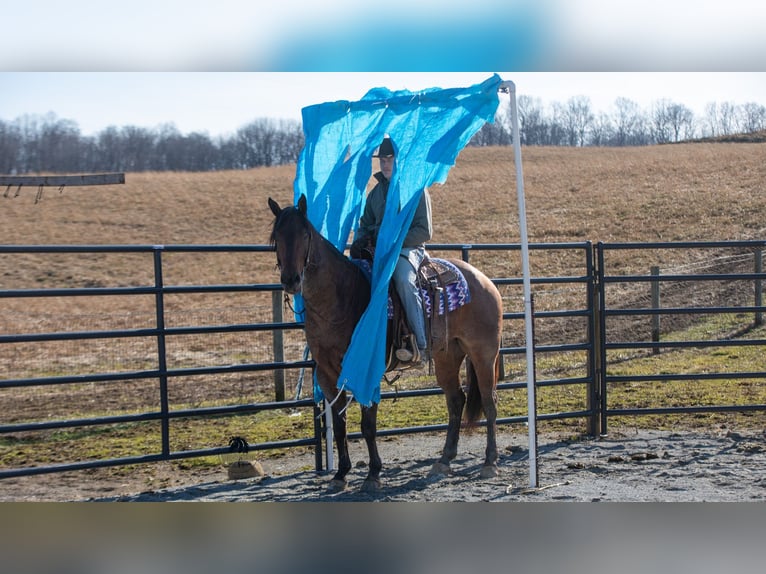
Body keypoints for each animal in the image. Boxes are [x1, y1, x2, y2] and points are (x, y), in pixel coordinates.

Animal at [269, 195, 503, 493]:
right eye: (277, 237)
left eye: (305, 234)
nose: (291, 280)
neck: (341, 297)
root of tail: (483, 280)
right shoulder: (326, 373)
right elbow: (341, 424)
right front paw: (340, 474)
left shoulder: (367, 369)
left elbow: (368, 424)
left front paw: (373, 474)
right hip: (448, 356)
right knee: (456, 400)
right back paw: (444, 461)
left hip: (483, 353)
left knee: (488, 400)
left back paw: (490, 462)